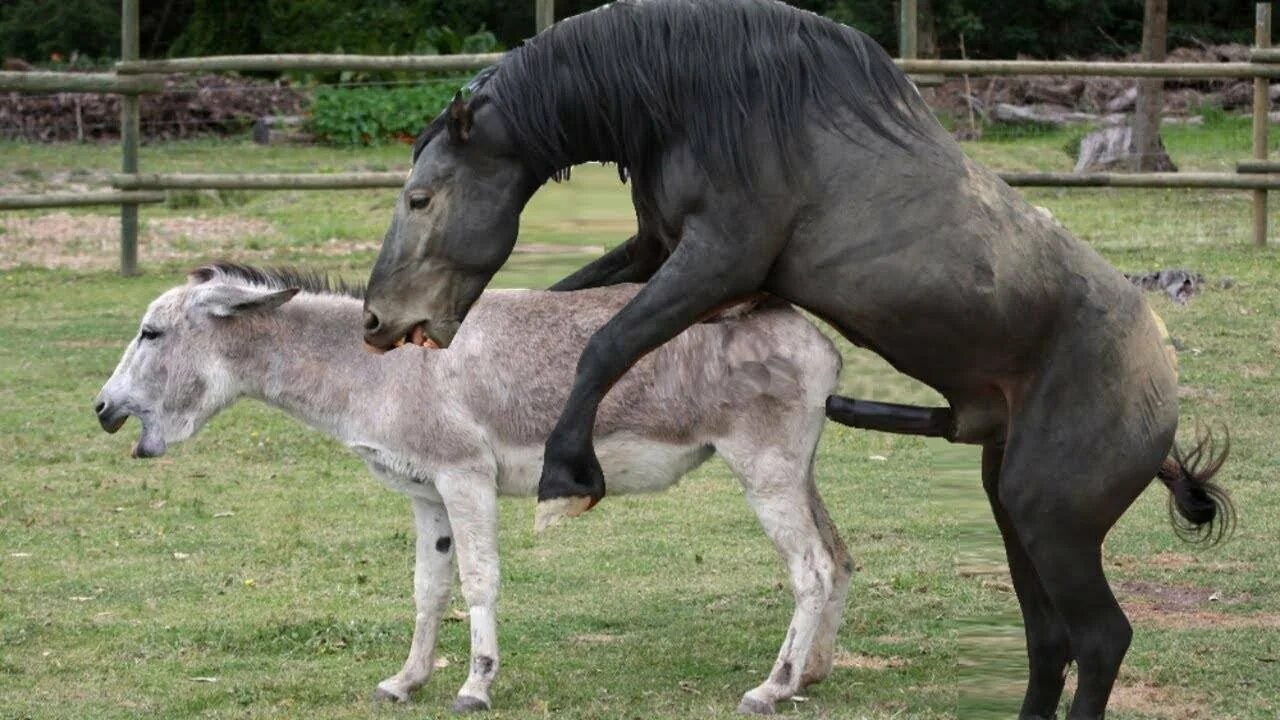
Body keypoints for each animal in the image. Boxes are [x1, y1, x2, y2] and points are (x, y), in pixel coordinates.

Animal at [360, 2, 1228, 712]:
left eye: (420, 198)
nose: (377, 322)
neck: (697, 101)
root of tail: (1162, 393)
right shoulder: (657, 250)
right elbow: (571, 305)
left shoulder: (716, 263)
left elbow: (604, 343)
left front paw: (569, 475)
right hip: (1013, 511)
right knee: (1050, 642)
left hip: (1052, 522)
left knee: (1100, 640)